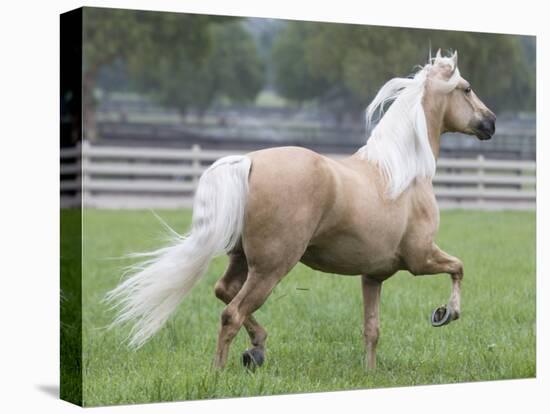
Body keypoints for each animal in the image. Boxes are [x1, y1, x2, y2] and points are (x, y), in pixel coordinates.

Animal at [110, 50, 498, 370]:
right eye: (466, 88)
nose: (491, 123)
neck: (402, 171)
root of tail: (249, 162)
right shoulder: (420, 258)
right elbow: (458, 267)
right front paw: (445, 313)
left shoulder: (373, 275)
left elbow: (372, 330)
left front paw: (370, 374)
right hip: (272, 267)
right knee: (231, 313)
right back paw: (221, 371)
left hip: (243, 260)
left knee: (224, 291)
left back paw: (256, 350)